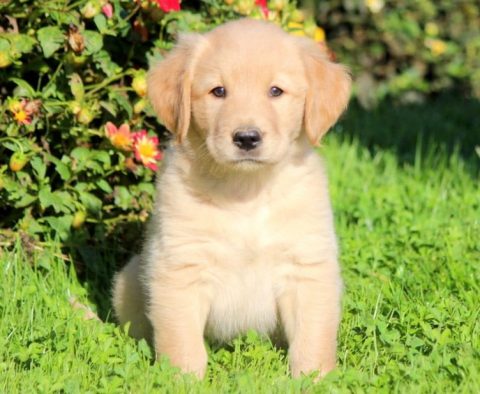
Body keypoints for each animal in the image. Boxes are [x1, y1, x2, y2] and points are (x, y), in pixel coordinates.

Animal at [113, 17, 352, 378]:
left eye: (276, 91)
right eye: (218, 91)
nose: (247, 138)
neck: (246, 191)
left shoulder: (307, 265)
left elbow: (313, 338)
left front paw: (316, 379)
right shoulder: (180, 267)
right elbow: (181, 340)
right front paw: (181, 380)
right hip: (128, 280)